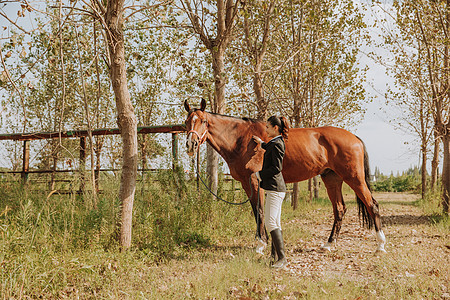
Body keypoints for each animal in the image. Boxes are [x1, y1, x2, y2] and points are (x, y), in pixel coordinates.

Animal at [183, 99, 386, 252]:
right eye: (186, 122)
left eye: (203, 121)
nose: (191, 145)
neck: (241, 139)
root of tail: (355, 138)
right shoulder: (246, 184)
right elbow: (256, 211)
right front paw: (263, 241)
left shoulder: (255, 181)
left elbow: (260, 211)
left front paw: (260, 245)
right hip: (331, 179)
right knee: (340, 209)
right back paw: (329, 244)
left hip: (355, 178)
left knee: (372, 205)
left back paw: (380, 245)